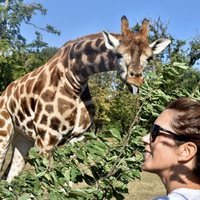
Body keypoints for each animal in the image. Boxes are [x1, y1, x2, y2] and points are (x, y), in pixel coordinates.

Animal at [0, 16, 170, 181]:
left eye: (149, 58)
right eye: (118, 54)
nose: (135, 79)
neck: (75, 78)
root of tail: (4, 94)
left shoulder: (77, 138)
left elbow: (65, 180)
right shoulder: (46, 139)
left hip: (22, 138)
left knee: (10, 178)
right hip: (5, 133)